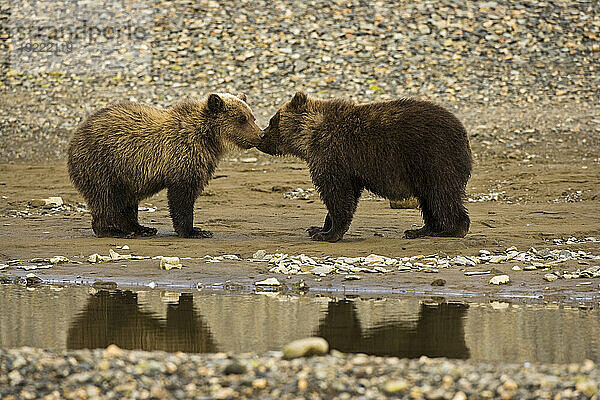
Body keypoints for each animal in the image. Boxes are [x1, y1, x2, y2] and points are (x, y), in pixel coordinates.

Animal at [68, 94, 260, 238]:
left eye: (252, 117)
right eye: (242, 119)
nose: (261, 135)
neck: (208, 138)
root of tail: (75, 136)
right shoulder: (182, 155)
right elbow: (182, 197)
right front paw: (194, 231)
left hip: (126, 175)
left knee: (126, 203)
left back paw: (141, 228)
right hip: (103, 164)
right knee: (105, 197)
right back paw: (112, 230)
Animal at [258, 92, 474, 242]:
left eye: (272, 121)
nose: (261, 136)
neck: (311, 135)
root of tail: (463, 133)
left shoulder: (332, 155)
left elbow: (337, 195)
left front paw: (328, 234)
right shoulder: (348, 168)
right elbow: (346, 195)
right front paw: (317, 229)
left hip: (434, 158)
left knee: (441, 194)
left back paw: (451, 229)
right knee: (429, 199)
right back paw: (419, 230)